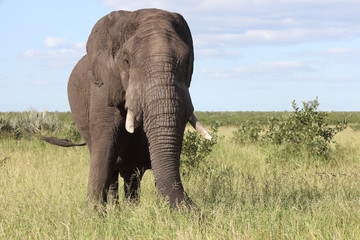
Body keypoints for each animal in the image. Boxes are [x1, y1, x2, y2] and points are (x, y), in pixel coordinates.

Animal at [41, 8, 211, 210]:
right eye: (127, 61)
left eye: (187, 62)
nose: (200, 213)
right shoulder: (102, 86)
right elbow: (105, 145)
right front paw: (93, 214)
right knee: (112, 166)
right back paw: (114, 209)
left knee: (132, 173)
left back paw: (130, 209)